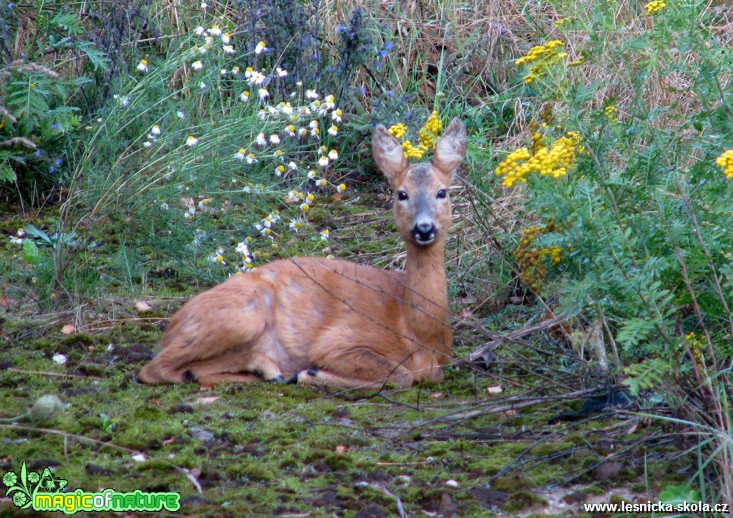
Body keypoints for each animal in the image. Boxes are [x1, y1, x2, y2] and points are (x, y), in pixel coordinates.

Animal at [140, 118, 466, 390]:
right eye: (401, 194)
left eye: (442, 192)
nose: (424, 228)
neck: (417, 334)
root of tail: (174, 323)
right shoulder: (338, 340)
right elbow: (399, 375)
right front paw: (313, 373)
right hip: (241, 315)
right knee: (154, 368)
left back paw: (267, 370)